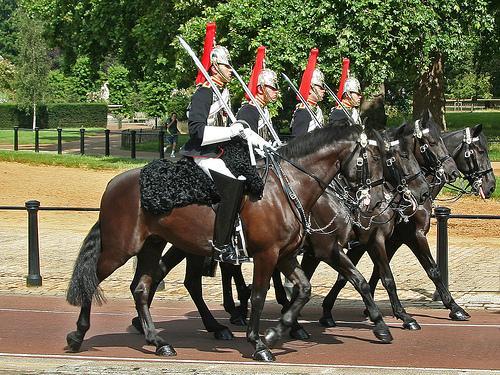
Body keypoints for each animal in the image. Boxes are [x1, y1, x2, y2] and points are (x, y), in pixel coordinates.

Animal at [65, 123, 394, 362]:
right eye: (376, 158)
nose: (378, 202)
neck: (288, 187)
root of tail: (113, 183)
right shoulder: (270, 254)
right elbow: (259, 296)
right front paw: (259, 343)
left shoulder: (288, 255)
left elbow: (306, 289)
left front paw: (276, 332)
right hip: (121, 248)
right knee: (94, 278)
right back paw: (78, 335)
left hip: (153, 244)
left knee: (143, 288)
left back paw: (158, 341)